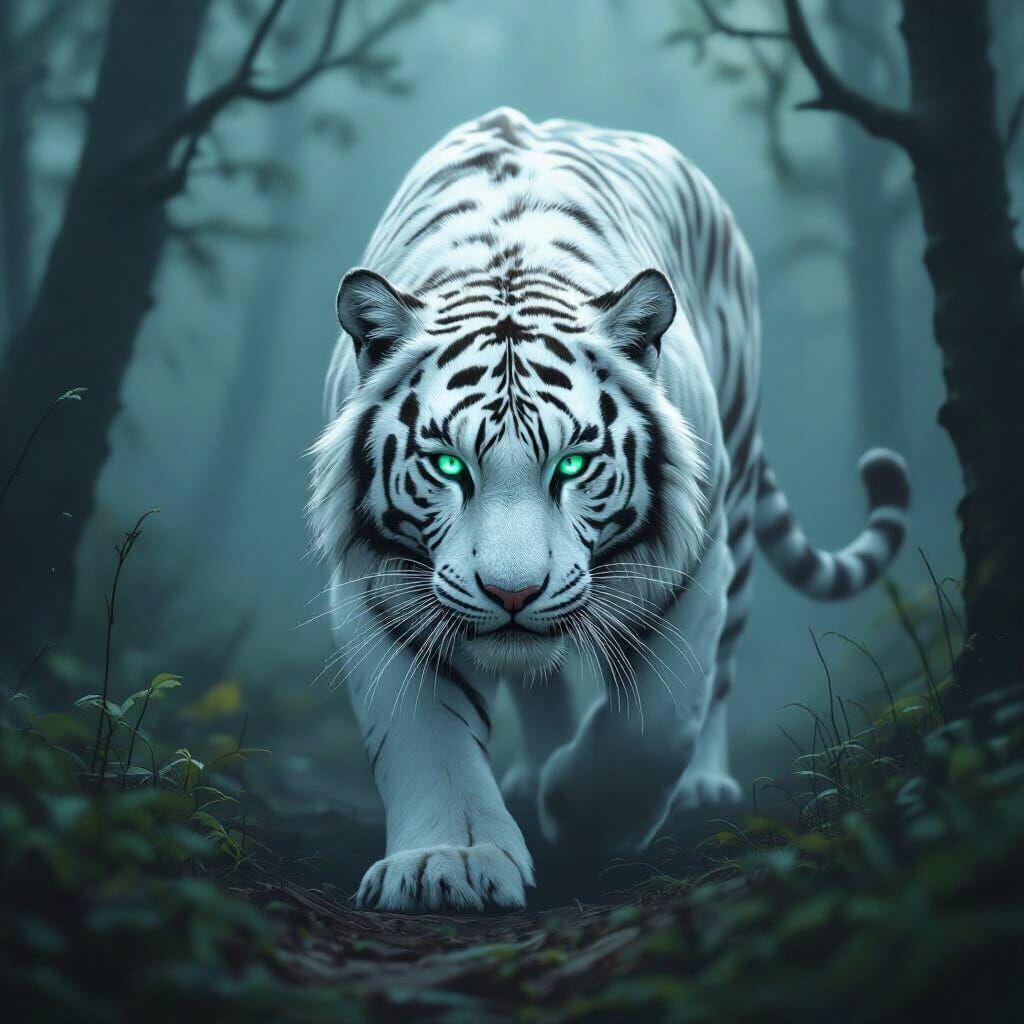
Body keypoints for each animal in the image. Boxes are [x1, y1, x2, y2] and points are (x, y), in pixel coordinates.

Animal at [308, 107, 910, 912]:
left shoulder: (697, 559)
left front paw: (584, 817)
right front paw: (449, 862)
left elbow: (655, 726)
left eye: (573, 464)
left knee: (719, 677)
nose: (512, 594)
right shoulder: (376, 580)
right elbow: (425, 736)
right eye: (447, 465)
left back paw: (700, 785)